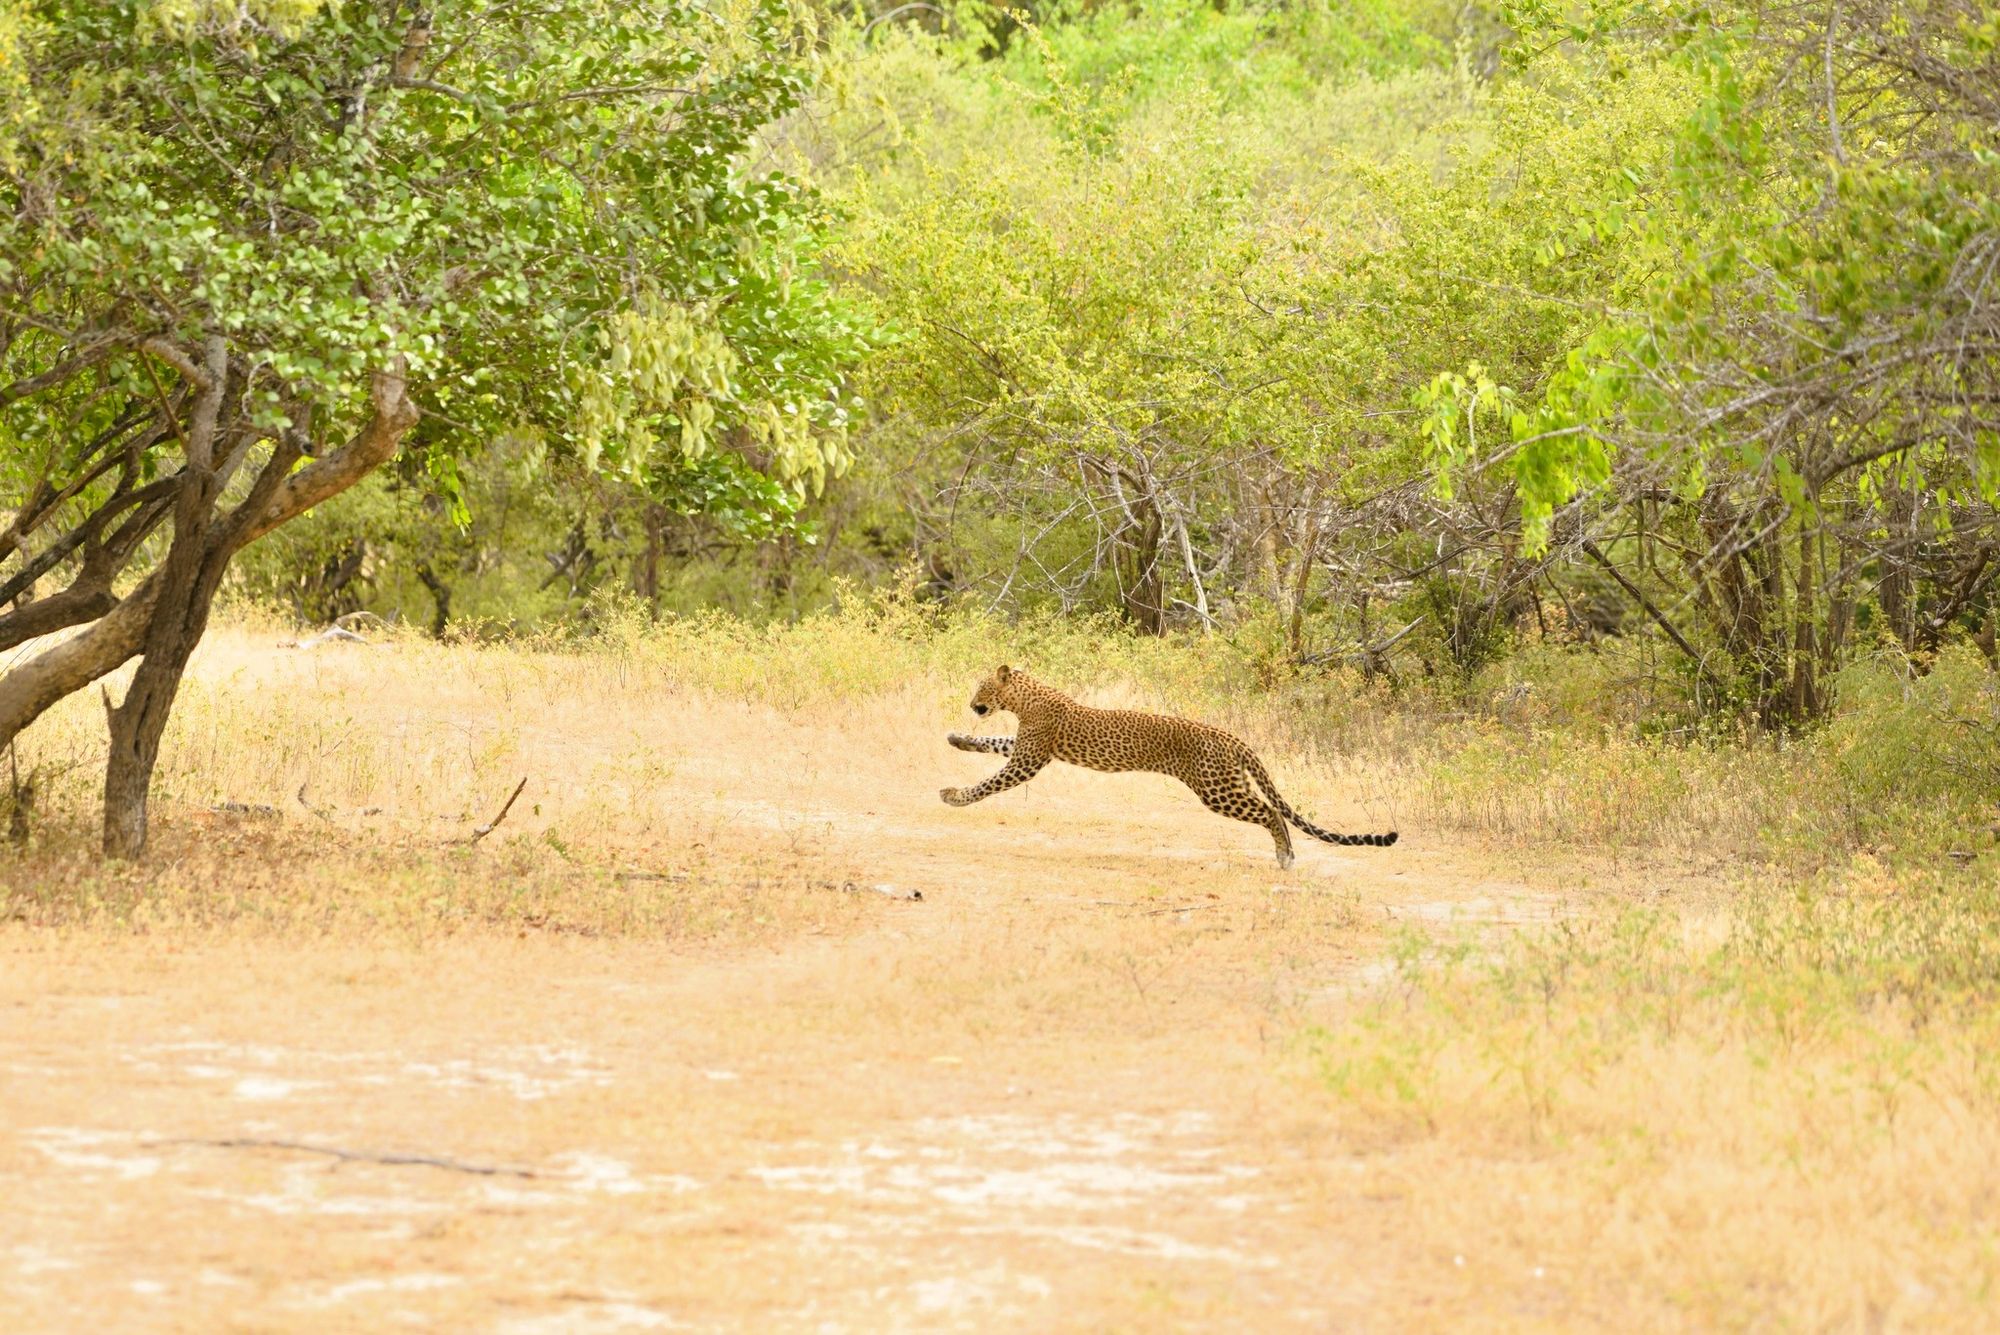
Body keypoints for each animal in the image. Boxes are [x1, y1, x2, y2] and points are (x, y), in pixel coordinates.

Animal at [944, 663, 1400, 871]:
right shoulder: (1026, 749)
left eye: (982, 687)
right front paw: (957, 738)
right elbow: (992, 743)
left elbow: (988, 783)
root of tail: (1232, 737)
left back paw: (1285, 856)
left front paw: (952, 795)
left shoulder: (1028, 759)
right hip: (1228, 783)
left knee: (1270, 810)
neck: (1025, 697)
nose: (972, 704)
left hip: (1216, 789)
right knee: (1272, 809)